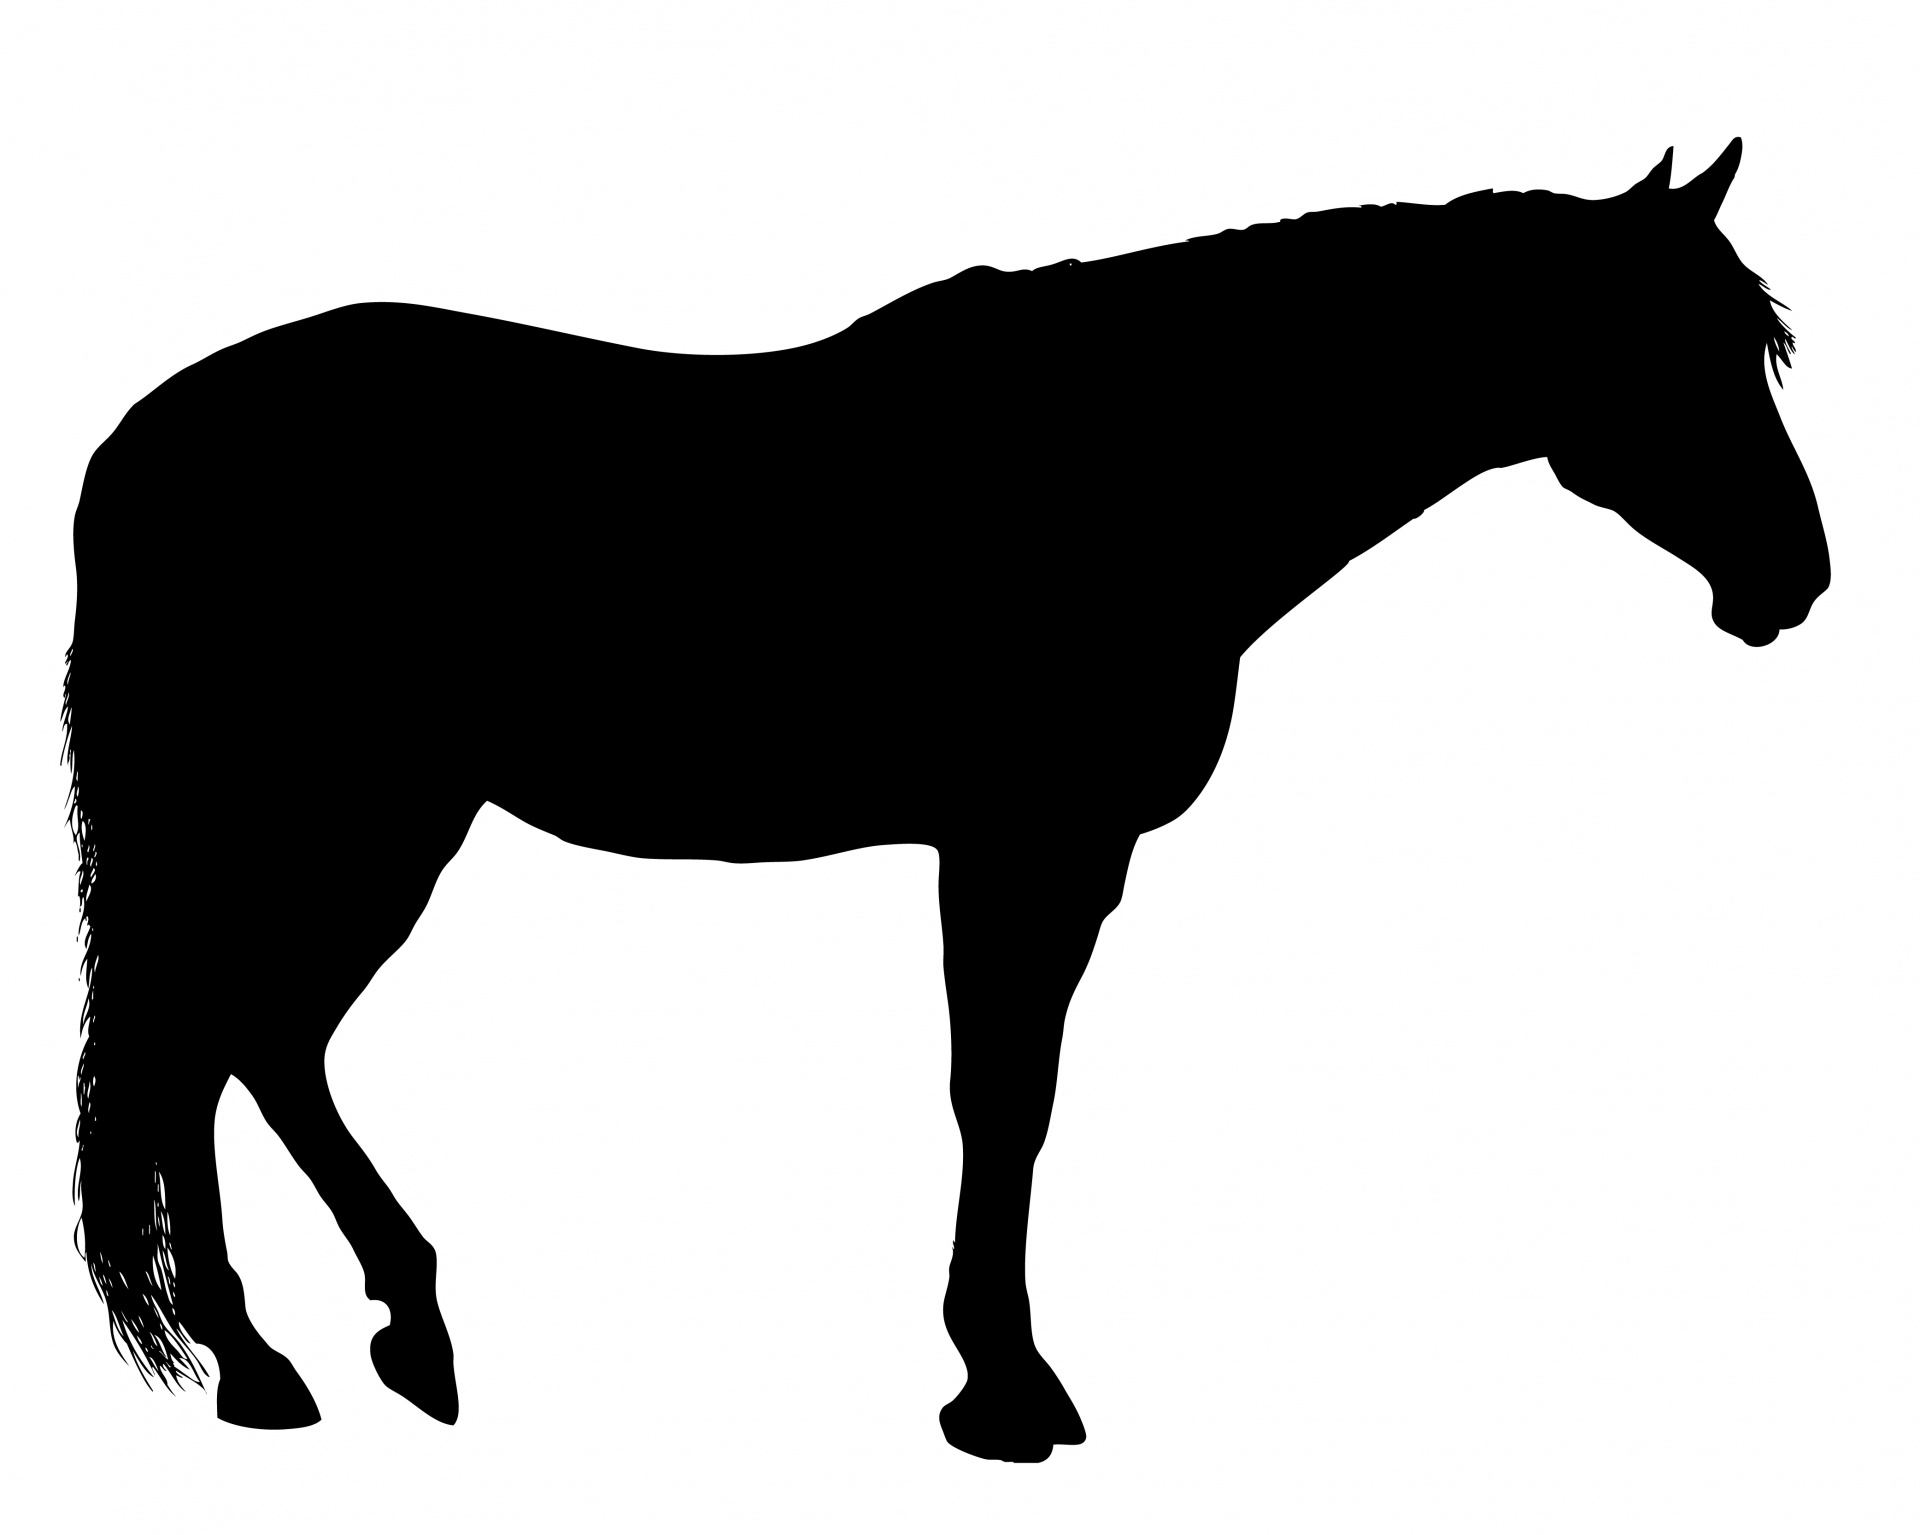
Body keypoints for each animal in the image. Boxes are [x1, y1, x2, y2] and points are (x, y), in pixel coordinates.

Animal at [65, 139, 1827, 1462]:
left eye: (1753, 346)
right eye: (1668, 347)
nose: (1793, 578)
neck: (1139, 462)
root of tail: (144, 445)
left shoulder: (1043, 856)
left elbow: (1013, 1099)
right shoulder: (1023, 847)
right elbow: (1006, 1099)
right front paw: (1005, 1385)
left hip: (363, 814)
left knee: (246, 1039)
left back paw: (369, 1332)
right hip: (352, 809)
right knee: (214, 1037)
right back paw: (269, 1356)